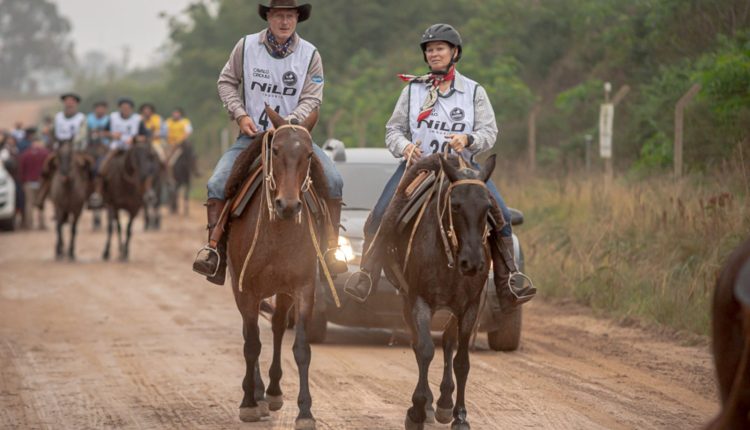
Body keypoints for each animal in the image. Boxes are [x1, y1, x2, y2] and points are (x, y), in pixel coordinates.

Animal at [226, 106, 326, 428]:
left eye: (308, 154)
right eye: (277, 150)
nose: (288, 205)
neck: (278, 230)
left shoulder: (303, 287)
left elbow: (302, 348)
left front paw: (305, 412)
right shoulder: (245, 288)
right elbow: (251, 344)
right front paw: (248, 402)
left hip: (281, 292)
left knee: (279, 326)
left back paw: (271, 391)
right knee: (251, 333)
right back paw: (256, 393)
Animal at [374, 155, 496, 430]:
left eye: (487, 207)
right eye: (456, 205)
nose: (472, 263)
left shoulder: (470, 306)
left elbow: (461, 360)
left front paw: (459, 415)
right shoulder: (419, 300)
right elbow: (425, 350)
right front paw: (417, 410)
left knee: (449, 343)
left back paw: (444, 403)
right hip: (407, 301)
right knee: (419, 344)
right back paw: (430, 405)